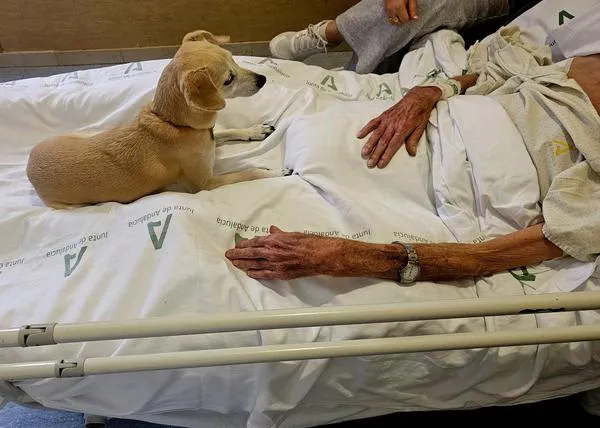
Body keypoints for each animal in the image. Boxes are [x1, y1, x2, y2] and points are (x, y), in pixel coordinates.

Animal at [25, 28, 284, 209]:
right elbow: (247, 174)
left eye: (233, 58)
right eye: (228, 79)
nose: (263, 79)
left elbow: (225, 131)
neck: (171, 121)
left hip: (82, 135)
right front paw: (272, 173)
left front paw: (254, 131)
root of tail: (28, 169)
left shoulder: (208, 136)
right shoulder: (205, 184)